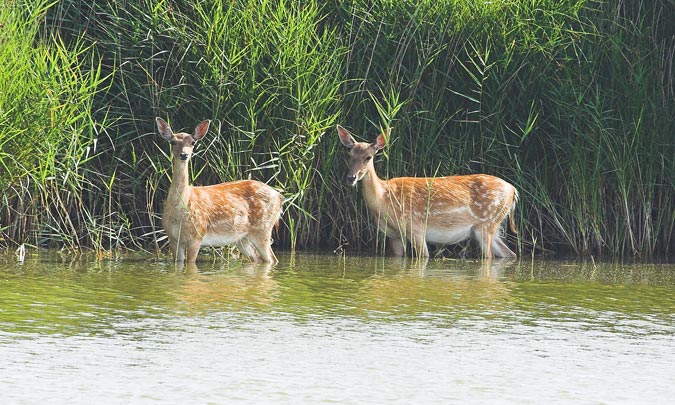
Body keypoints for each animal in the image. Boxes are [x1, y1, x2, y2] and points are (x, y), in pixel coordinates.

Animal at [156, 115, 282, 264]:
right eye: (173, 142)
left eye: (193, 142)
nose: (184, 155)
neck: (181, 209)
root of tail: (279, 196)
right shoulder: (173, 239)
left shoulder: (197, 235)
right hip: (243, 238)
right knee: (257, 259)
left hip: (263, 229)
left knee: (271, 259)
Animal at [336, 124, 516, 258]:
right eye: (349, 155)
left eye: (368, 157)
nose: (351, 178)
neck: (384, 199)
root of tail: (513, 190)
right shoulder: (393, 235)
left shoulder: (415, 228)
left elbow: (424, 256)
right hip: (493, 227)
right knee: (509, 254)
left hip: (487, 223)